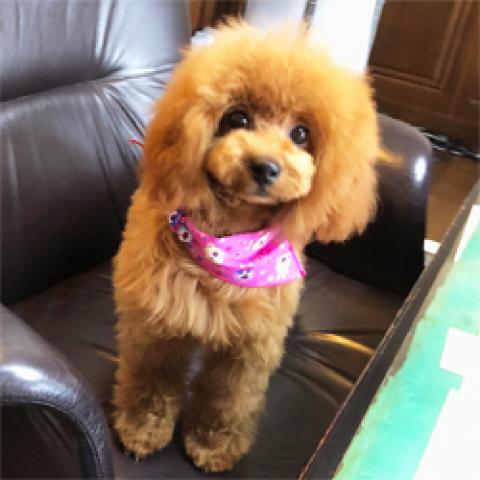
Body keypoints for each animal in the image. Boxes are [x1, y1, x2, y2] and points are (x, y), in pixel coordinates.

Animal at [112, 21, 381, 473]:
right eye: (237, 118)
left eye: (302, 133)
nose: (265, 167)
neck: (226, 244)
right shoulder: (159, 321)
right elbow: (152, 377)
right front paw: (143, 428)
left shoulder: (250, 344)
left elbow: (230, 397)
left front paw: (213, 446)